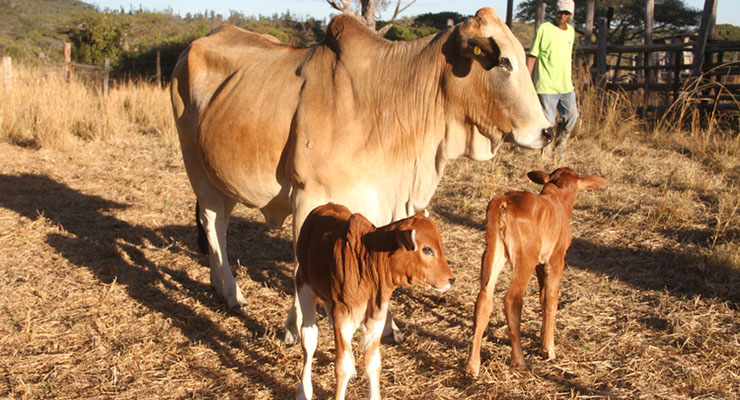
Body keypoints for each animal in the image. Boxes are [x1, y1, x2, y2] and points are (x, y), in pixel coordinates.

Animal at [169, 7, 552, 344]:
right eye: (504, 61)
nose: (548, 131)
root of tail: (194, 44)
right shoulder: (307, 196)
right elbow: (300, 267)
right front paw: (295, 329)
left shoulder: (386, 199)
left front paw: (388, 328)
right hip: (195, 165)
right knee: (214, 224)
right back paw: (231, 292)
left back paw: (219, 286)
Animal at [294, 203, 454, 400]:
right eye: (427, 249)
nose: (451, 279)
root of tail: (325, 206)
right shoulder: (343, 316)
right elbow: (343, 365)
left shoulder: (376, 318)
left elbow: (373, 363)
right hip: (303, 284)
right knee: (309, 339)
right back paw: (304, 390)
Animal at [465, 168, 606, 375]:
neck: (558, 200)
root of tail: (504, 200)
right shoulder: (556, 259)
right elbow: (551, 299)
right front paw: (548, 349)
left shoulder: (541, 263)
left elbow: (542, 296)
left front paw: (541, 338)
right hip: (525, 258)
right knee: (512, 300)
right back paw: (519, 360)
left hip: (493, 253)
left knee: (484, 298)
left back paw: (473, 365)